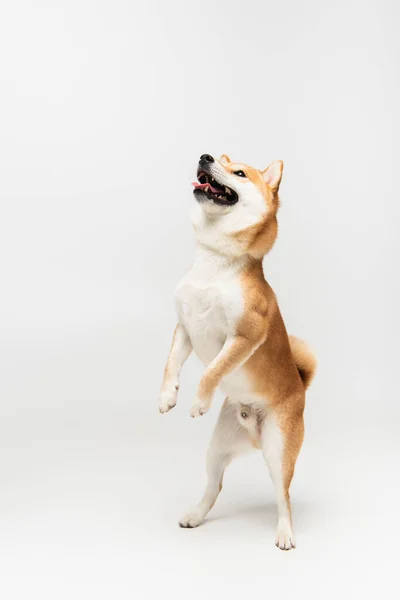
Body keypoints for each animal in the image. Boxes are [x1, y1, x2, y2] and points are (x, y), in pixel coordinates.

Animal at [158, 154, 318, 548]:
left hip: (279, 452)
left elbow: (212, 370)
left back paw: (285, 533)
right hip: (217, 448)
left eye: (240, 173)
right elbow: (171, 365)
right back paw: (196, 515)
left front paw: (199, 400)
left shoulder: (243, 337)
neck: (213, 262)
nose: (205, 156)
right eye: (220, 159)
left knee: (283, 497)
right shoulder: (184, 328)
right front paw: (168, 396)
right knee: (213, 487)